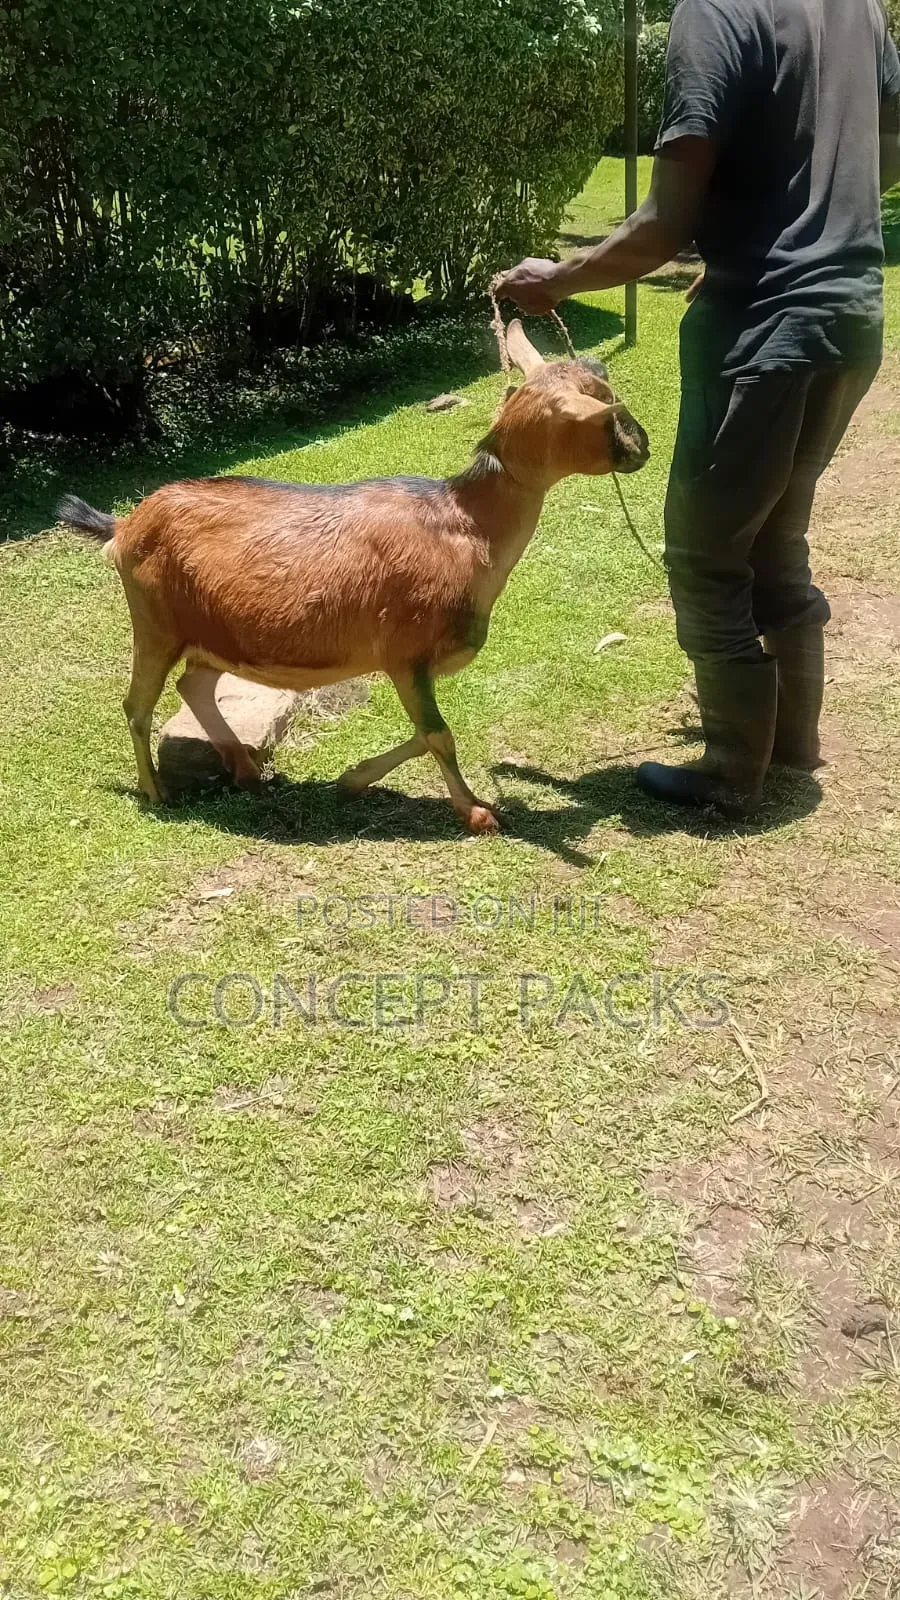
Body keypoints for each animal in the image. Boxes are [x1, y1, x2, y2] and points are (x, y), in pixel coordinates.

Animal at [59, 322, 649, 833]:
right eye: (603, 410)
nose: (642, 445)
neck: (466, 524)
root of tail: (125, 525)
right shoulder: (405, 651)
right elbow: (438, 733)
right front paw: (478, 813)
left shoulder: (408, 660)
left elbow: (425, 733)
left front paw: (352, 780)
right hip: (155, 624)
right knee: (138, 705)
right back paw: (156, 792)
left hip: (212, 632)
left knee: (193, 684)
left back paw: (248, 774)